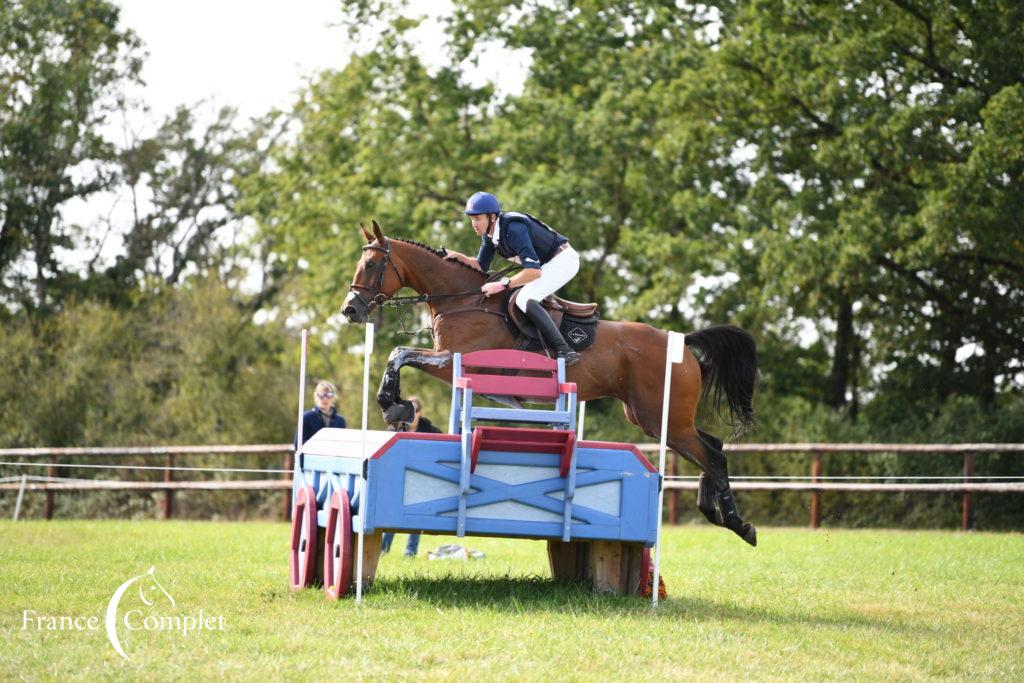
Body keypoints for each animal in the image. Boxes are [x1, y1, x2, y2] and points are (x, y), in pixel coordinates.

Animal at [342, 222, 761, 548]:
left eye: (372, 264)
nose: (350, 310)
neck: (463, 300)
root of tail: (682, 341)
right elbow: (400, 354)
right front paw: (396, 406)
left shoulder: (451, 362)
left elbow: (400, 354)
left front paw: (393, 405)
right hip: (656, 419)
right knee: (713, 447)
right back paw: (718, 514)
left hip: (663, 418)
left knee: (713, 456)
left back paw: (740, 525)